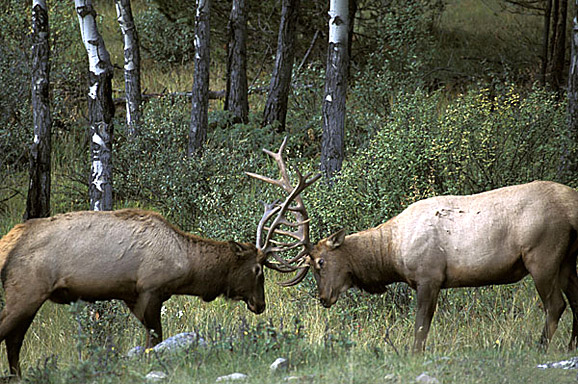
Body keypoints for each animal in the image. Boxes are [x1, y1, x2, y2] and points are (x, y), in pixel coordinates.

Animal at [0, 208, 266, 376]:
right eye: (257, 270)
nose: (261, 304)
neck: (186, 265)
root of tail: (7, 242)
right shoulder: (150, 290)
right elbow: (155, 339)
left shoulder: (132, 296)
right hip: (26, 291)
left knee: (14, 341)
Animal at [249, 140, 578, 352]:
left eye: (321, 262)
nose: (323, 298)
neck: (392, 255)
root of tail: (571, 206)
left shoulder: (429, 276)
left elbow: (421, 328)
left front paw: (413, 355)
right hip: (567, 259)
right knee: (575, 301)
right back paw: (569, 347)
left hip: (542, 256)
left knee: (555, 305)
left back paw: (540, 348)